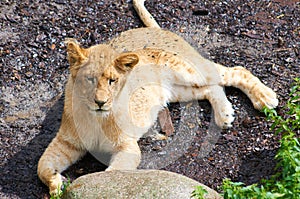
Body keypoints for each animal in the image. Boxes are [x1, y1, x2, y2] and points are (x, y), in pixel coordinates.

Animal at [38, 0, 278, 196]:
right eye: (89, 79)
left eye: (113, 80)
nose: (100, 102)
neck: (96, 118)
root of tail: (156, 30)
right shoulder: (67, 142)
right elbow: (42, 166)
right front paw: (56, 185)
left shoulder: (128, 148)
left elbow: (112, 173)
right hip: (179, 90)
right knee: (212, 88)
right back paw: (224, 114)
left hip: (189, 70)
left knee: (234, 71)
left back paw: (265, 98)